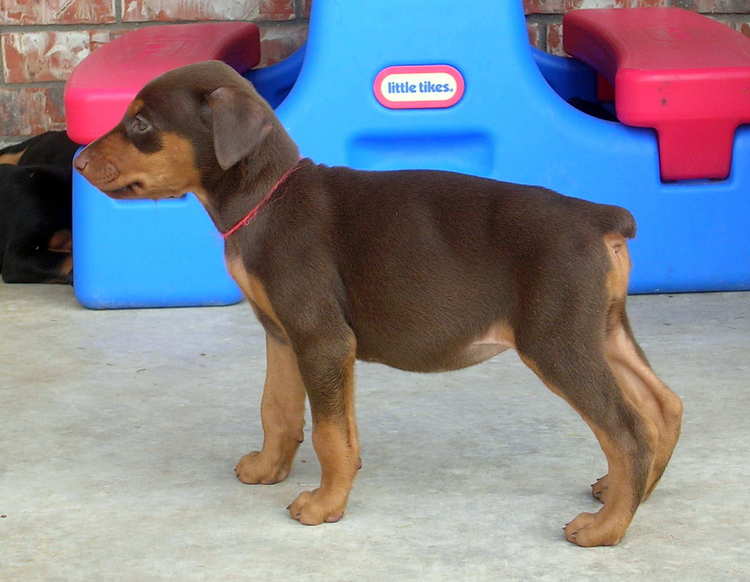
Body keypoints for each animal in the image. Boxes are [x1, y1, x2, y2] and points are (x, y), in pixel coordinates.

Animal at [73, 61, 684, 548]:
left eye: (142, 124)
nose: (77, 160)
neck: (266, 197)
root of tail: (598, 216)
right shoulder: (284, 335)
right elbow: (282, 411)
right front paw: (271, 469)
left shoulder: (320, 338)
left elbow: (326, 433)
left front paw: (324, 506)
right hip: (603, 330)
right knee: (663, 406)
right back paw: (631, 495)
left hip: (556, 341)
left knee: (627, 430)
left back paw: (607, 527)